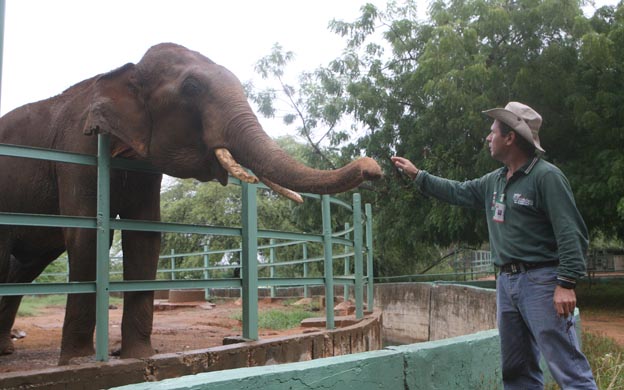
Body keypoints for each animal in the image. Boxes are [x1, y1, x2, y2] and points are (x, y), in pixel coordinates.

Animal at [0, 41, 380, 364]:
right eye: (192, 88)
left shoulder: (145, 167)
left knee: (26, 265)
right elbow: (89, 236)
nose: (374, 167)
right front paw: (78, 362)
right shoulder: (76, 150)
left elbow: (145, 236)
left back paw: (5, 349)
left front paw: (140, 358)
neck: (126, 72)